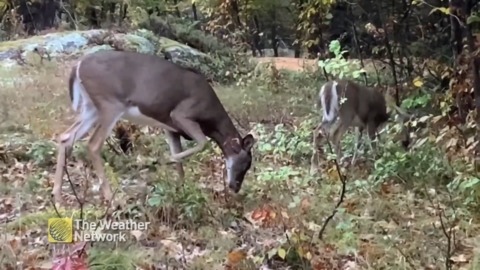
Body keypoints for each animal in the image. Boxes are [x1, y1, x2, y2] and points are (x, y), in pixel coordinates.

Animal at [52, 50, 255, 204]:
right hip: (110, 103)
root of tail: (77, 66)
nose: (235, 187)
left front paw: (181, 189)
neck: (211, 119)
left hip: (91, 107)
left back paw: (58, 197)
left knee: (65, 137)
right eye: (246, 164)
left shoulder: (171, 128)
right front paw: (159, 161)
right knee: (93, 144)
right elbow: (202, 143)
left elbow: (180, 160)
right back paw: (112, 198)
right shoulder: (181, 114)